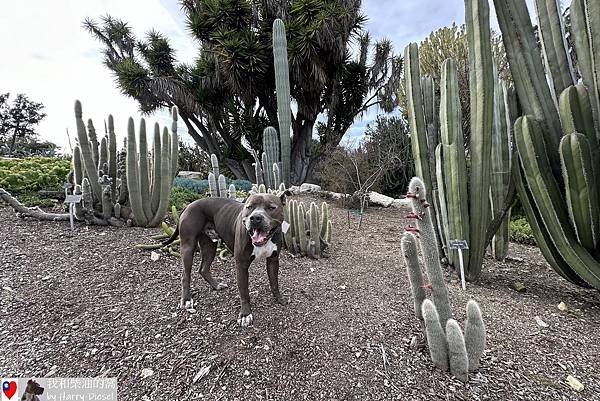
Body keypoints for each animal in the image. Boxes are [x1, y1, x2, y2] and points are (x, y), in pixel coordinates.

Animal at [163, 190, 292, 324]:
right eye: (249, 207)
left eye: (271, 207)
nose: (255, 218)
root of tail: (188, 205)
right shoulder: (241, 265)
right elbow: (244, 292)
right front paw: (245, 314)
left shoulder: (273, 260)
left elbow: (274, 282)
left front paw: (279, 299)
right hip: (188, 246)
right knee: (185, 275)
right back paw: (186, 300)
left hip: (210, 246)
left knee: (203, 268)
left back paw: (216, 285)